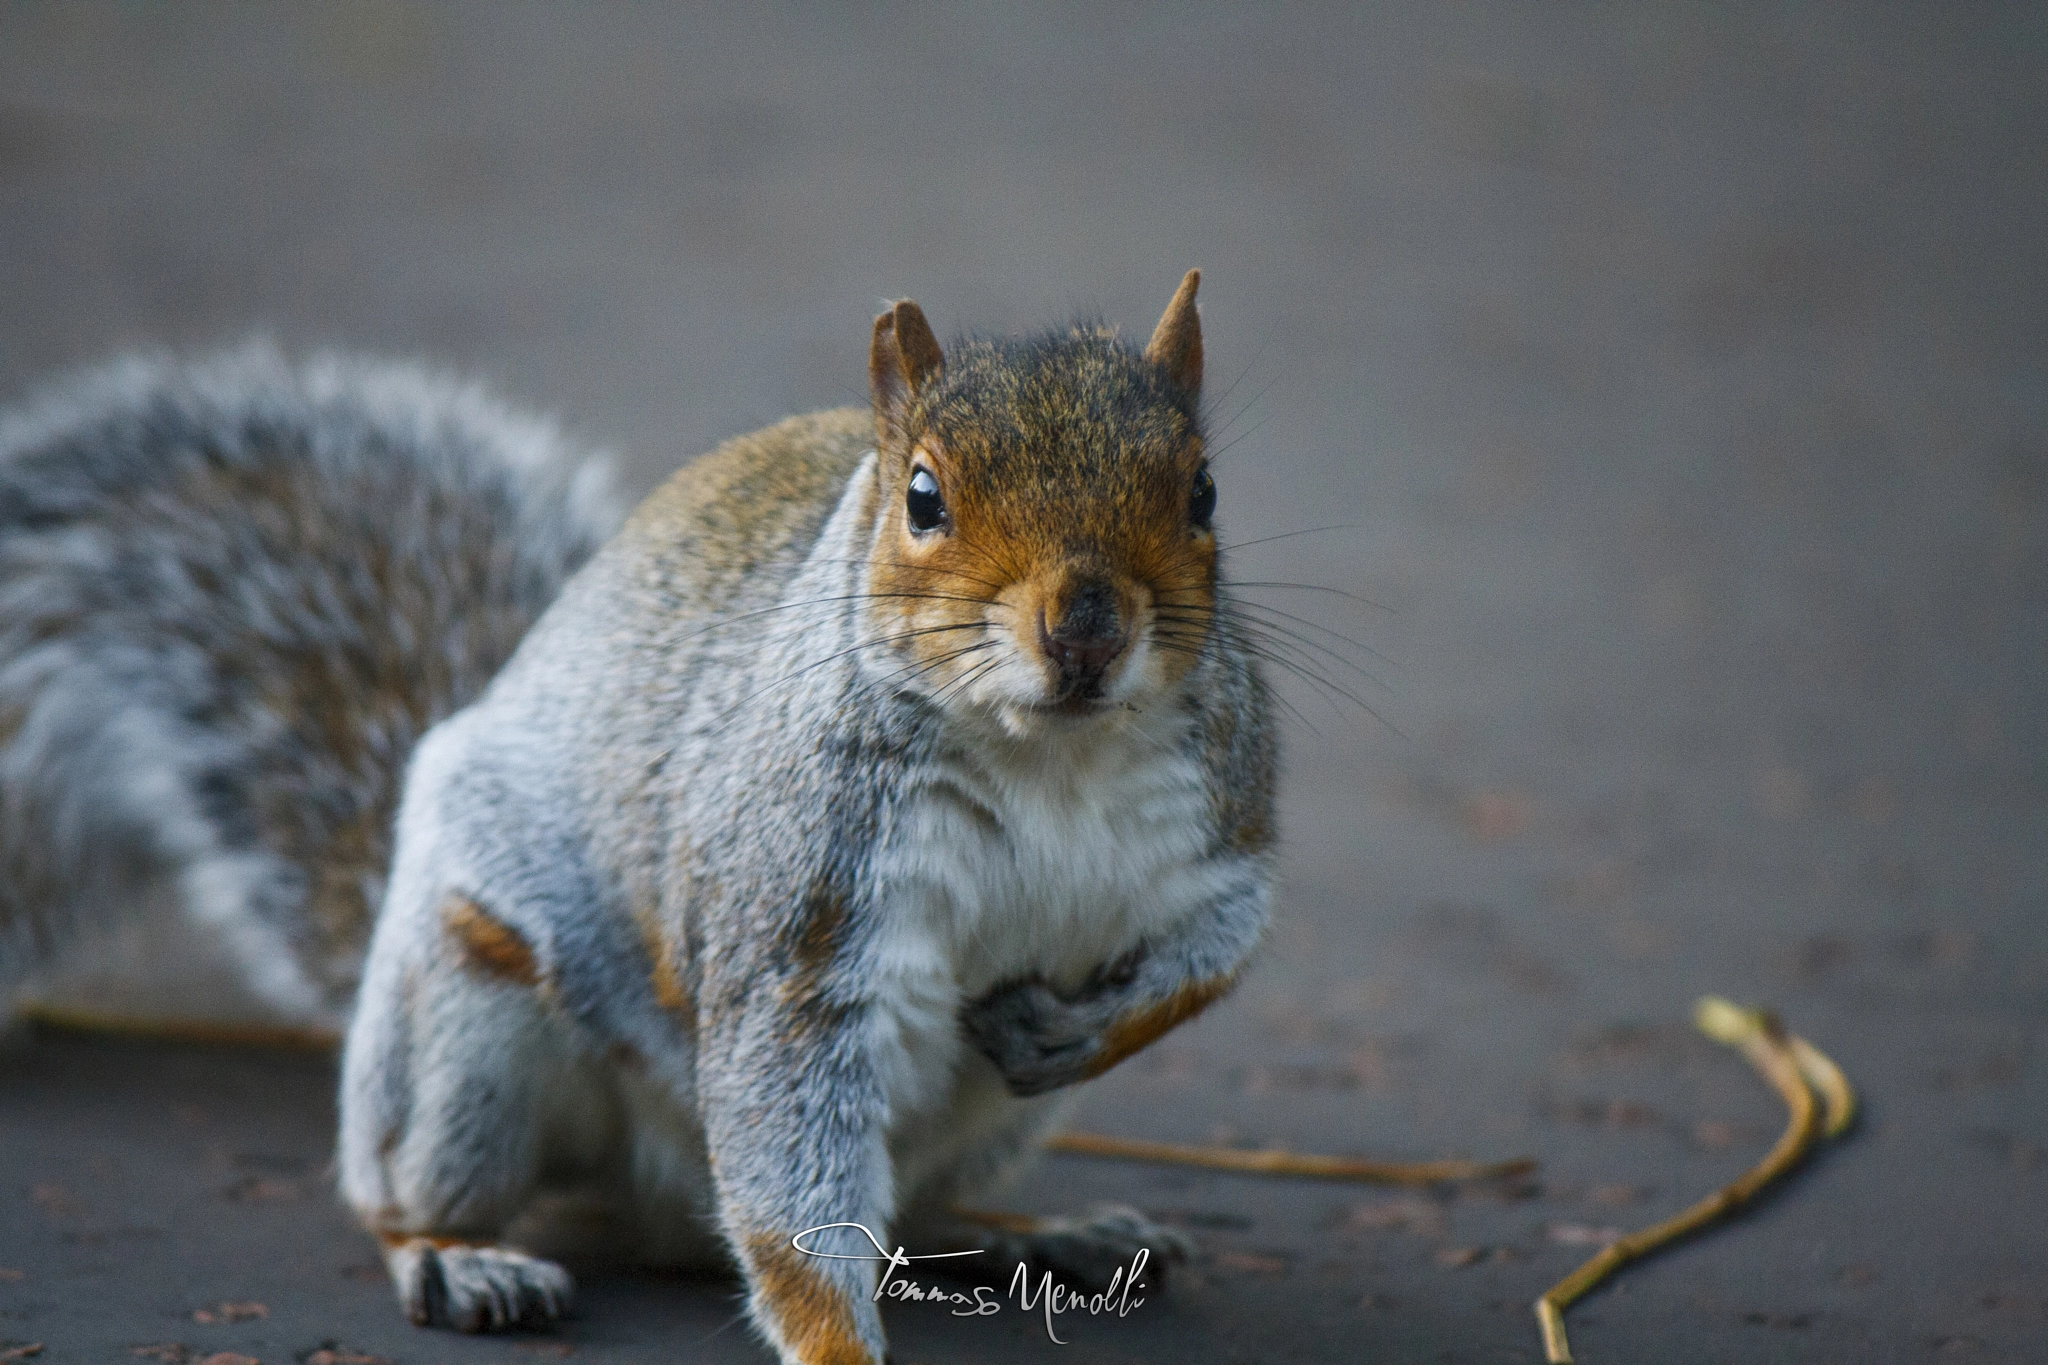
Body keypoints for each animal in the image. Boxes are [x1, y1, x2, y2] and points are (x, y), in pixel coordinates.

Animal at [1, 273, 1278, 1365]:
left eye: (1205, 490)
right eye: (923, 498)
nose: (1086, 629)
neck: (1048, 757)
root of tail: (671, 1208)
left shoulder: (1225, 828)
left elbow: (1216, 950)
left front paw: (1086, 1025)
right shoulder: (803, 918)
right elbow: (785, 1143)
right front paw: (835, 1346)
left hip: (999, 1121)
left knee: (915, 1215)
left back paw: (1047, 1236)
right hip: (470, 1021)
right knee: (403, 1187)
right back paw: (455, 1255)